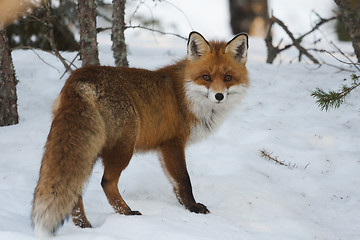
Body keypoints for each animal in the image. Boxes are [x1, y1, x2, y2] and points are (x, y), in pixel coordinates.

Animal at [32, 31, 249, 237]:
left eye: (228, 78)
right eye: (206, 77)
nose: (219, 96)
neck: (185, 96)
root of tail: (79, 77)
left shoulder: (163, 148)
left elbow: (175, 184)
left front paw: (183, 205)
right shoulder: (173, 142)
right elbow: (184, 179)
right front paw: (193, 207)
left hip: (87, 148)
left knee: (75, 189)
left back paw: (84, 225)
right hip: (124, 146)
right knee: (106, 182)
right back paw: (127, 213)